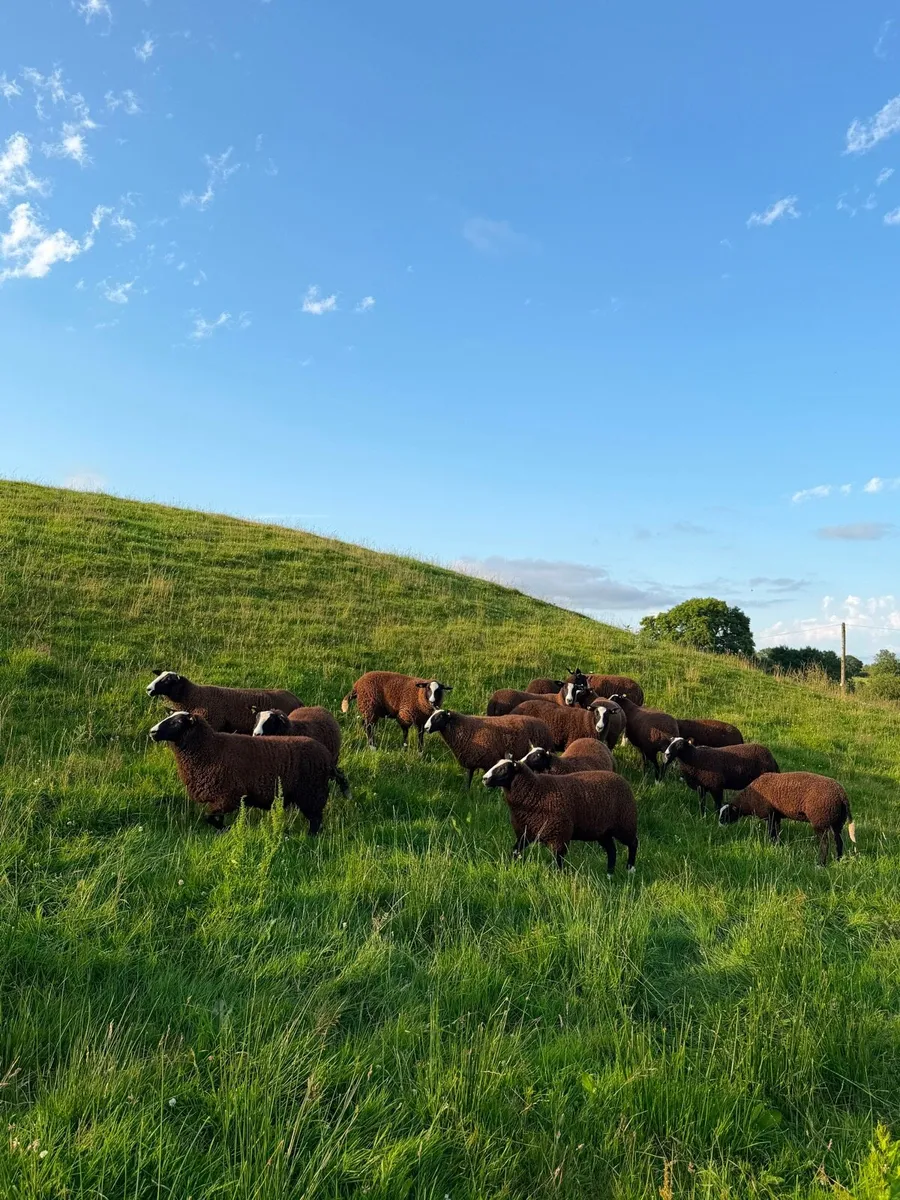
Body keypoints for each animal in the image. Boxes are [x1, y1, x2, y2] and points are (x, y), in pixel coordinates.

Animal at [149, 711, 349, 832]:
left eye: (177, 722)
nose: (152, 732)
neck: (210, 748)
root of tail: (326, 757)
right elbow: (214, 819)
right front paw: (225, 831)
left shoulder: (228, 797)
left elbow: (210, 818)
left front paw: (227, 830)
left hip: (311, 793)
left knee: (315, 822)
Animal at [422, 709, 553, 788]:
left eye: (439, 716)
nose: (426, 728)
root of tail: (543, 724)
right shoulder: (471, 762)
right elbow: (468, 782)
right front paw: (467, 795)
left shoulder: (488, 761)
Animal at [482, 757, 638, 873]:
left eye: (503, 769)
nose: (484, 779)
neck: (536, 791)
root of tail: (621, 778)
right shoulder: (525, 833)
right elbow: (515, 851)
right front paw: (509, 867)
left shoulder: (558, 835)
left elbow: (558, 861)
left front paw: (558, 878)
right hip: (602, 832)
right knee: (612, 850)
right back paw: (609, 874)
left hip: (624, 824)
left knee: (633, 843)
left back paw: (630, 869)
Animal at [719, 772, 856, 866]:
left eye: (726, 814)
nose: (719, 826)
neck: (748, 800)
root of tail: (841, 794)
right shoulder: (776, 816)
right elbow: (776, 832)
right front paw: (776, 845)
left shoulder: (769, 815)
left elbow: (771, 832)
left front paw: (771, 844)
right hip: (837, 821)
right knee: (839, 842)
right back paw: (838, 860)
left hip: (820, 820)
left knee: (824, 844)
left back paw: (820, 864)